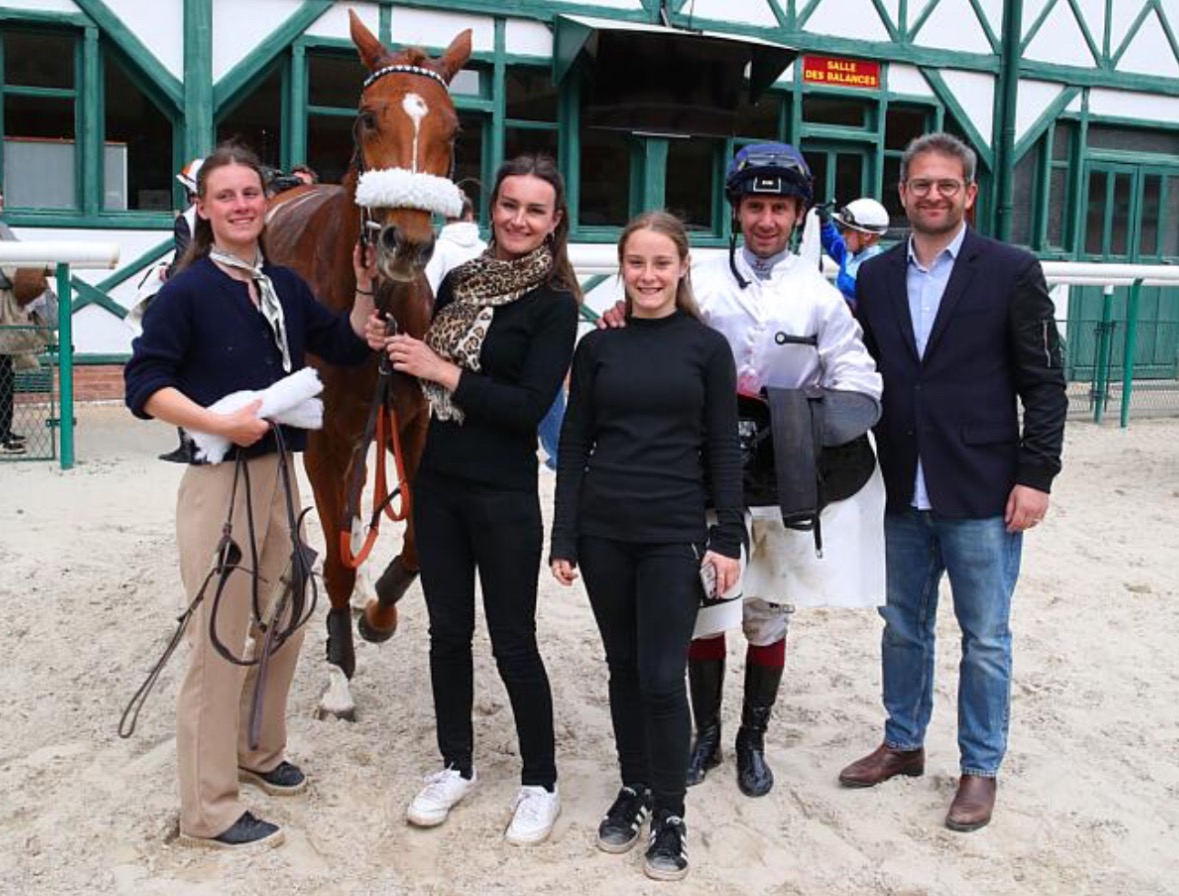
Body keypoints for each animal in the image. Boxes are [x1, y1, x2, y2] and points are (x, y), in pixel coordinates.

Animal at [263, 11, 472, 718]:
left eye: (453, 129)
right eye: (365, 116)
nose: (405, 243)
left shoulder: (411, 423)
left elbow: (415, 541)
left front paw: (378, 611)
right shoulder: (322, 437)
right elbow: (335, 559)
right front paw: (338, 672)